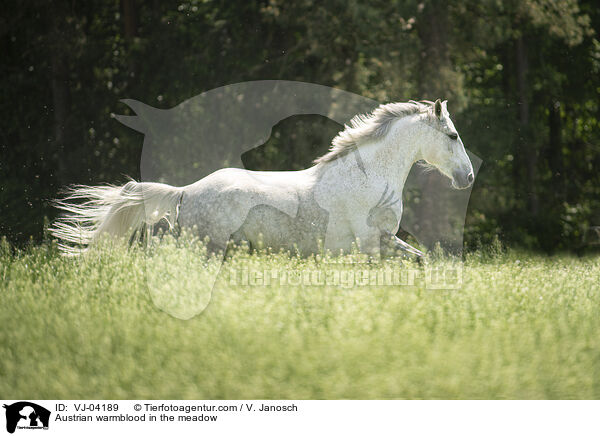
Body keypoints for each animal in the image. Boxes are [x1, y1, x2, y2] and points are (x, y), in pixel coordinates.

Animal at [50, 98, 474, 258]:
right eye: (453, 136)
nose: (468, 178)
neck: (367, 177)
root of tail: (186, 191)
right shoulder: (373, 243)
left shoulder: (378, 244)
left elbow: (420, 261)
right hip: (208, 248)